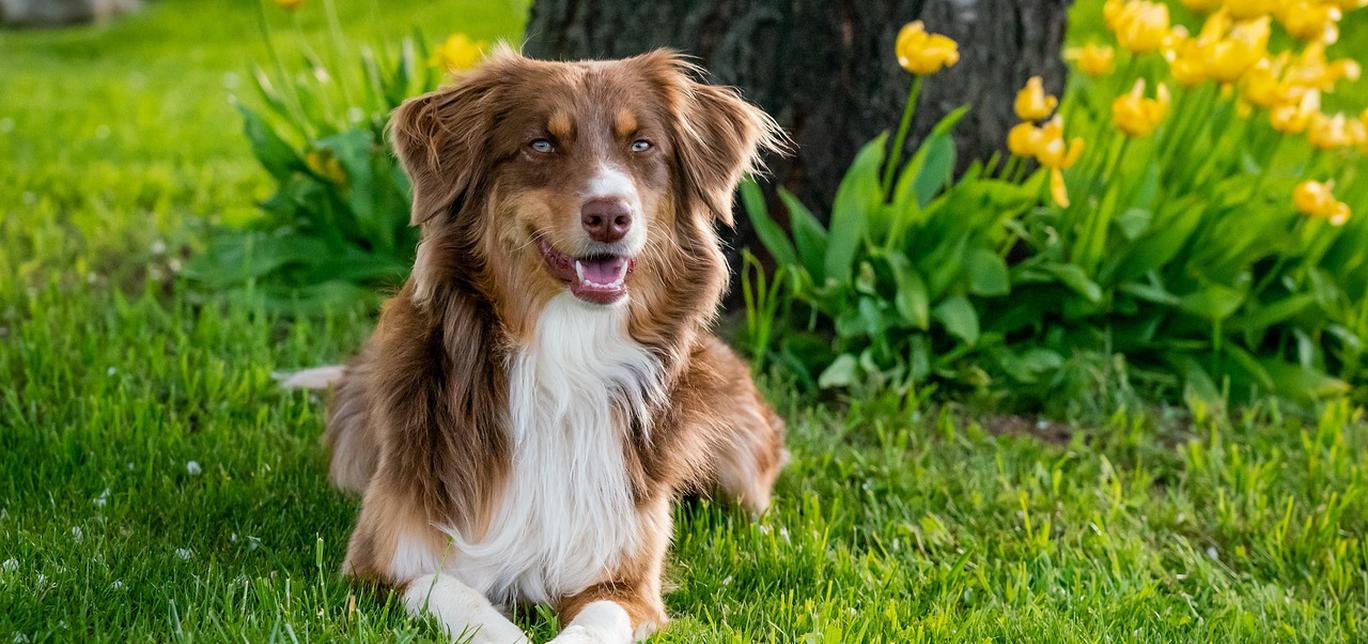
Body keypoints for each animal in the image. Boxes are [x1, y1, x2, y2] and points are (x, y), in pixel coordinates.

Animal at [283, 46, 787, 644]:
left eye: (641, 145)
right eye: (541, 144)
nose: (610, 215)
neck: (565, 355)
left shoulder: (627, 582)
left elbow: (596, 622)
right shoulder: (380, 566)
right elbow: (460, 600)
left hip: (739, 464)